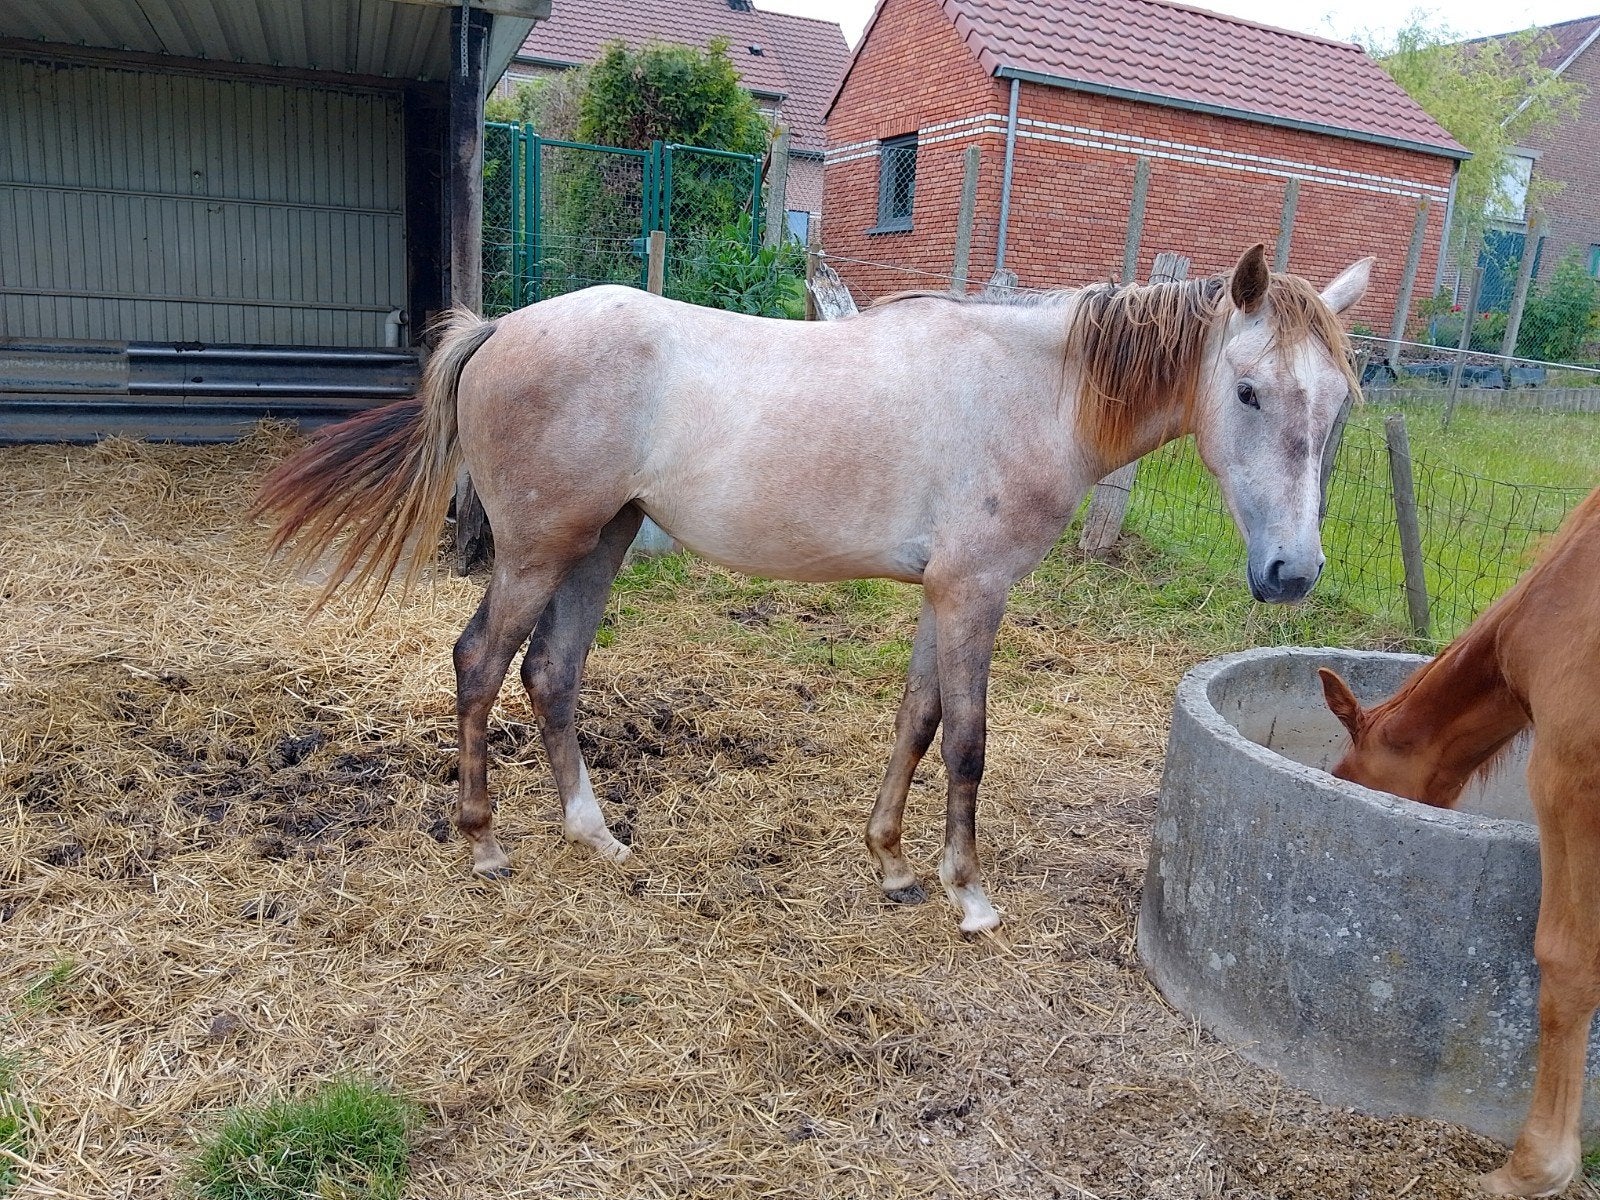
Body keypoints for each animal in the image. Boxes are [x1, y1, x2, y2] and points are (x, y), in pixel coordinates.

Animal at [254, 243, 1370, 934]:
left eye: (1340, 404)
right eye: (1247, 391)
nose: (1292, 572)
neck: (1031, 391)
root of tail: (499, 328)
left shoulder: (942, 595)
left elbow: (916, 721)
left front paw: (892, 865)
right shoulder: (975, 594)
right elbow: (967, 742)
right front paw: (968, 895)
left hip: (598, 543)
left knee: (551, 674)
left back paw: (595, 834)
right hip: (539, 549)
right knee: (482, 662)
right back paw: (483, 844)